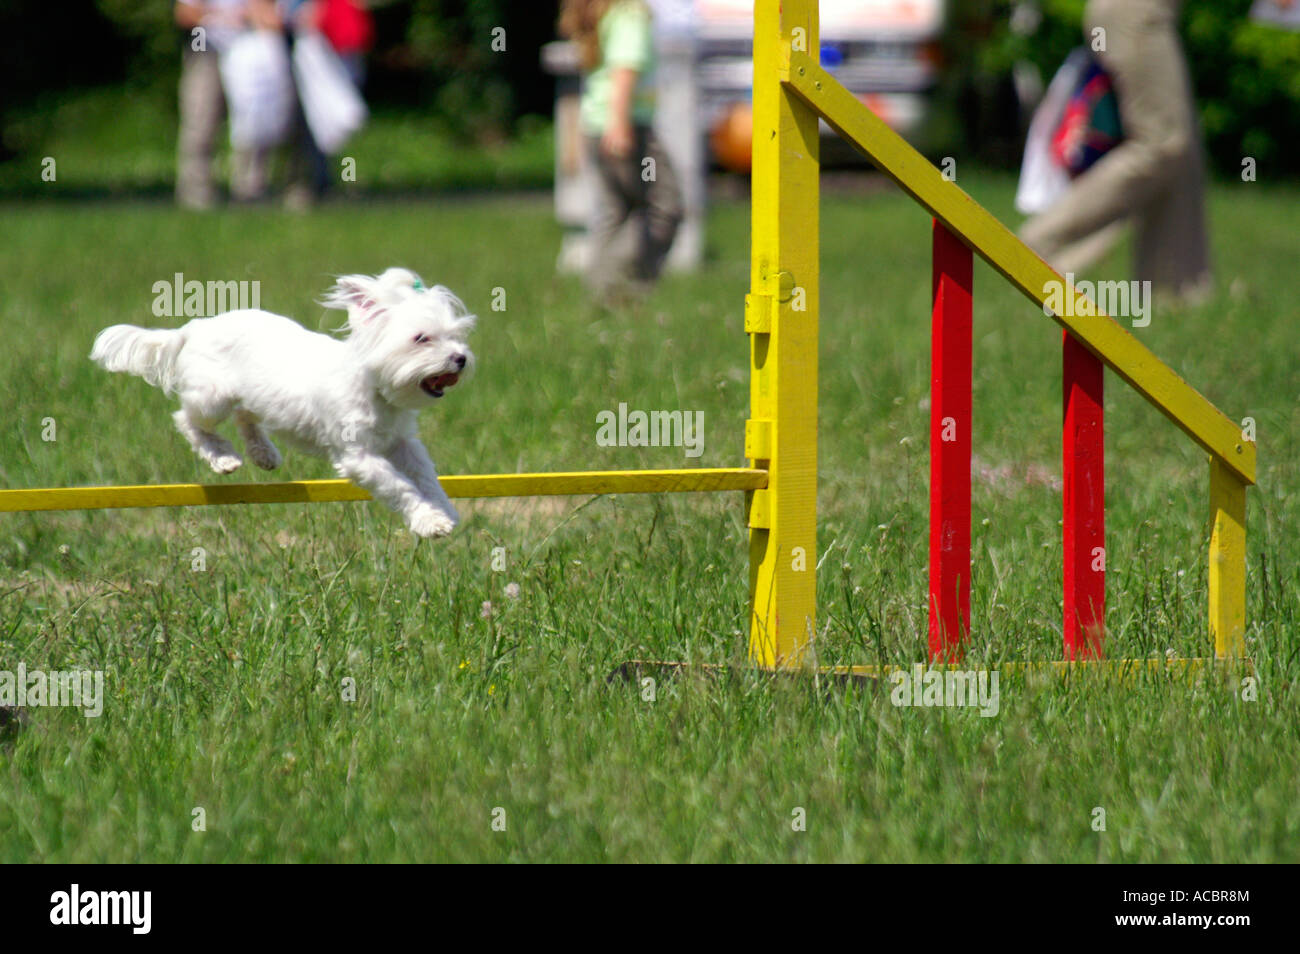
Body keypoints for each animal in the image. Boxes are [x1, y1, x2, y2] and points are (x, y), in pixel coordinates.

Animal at [92, 269, 478, 538]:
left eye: (458, 336)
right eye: (421, 338)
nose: (460, 358)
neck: (375, 390)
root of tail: (195, 327)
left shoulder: (402, 443)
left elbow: (426, 476)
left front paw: (445, 510)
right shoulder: (360, 457)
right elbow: (402, 487)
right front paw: (430, 521)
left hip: (254, 395)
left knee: (245, 417)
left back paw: (264, 454)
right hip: (212, 397)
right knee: (188, 420)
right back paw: (223, 457)